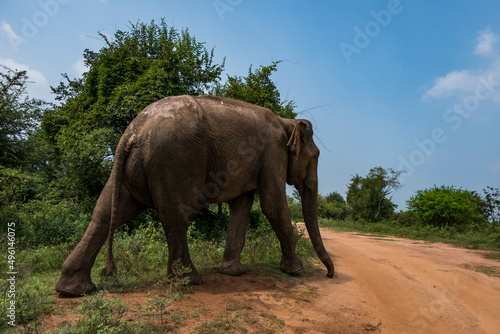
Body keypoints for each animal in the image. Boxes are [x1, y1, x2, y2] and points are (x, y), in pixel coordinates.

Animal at [54, 95, 334, 296]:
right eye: (316, 157)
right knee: (177, 216)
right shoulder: (272, 154)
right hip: (174, 160)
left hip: (132, 168)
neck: (286, 122)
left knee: (106, 212)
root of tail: (133, 130)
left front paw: (233, 272)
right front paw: (296, 270)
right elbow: (272, 206)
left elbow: (241, 205)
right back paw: (189, 281)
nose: (330, 275)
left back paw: (72, 290)